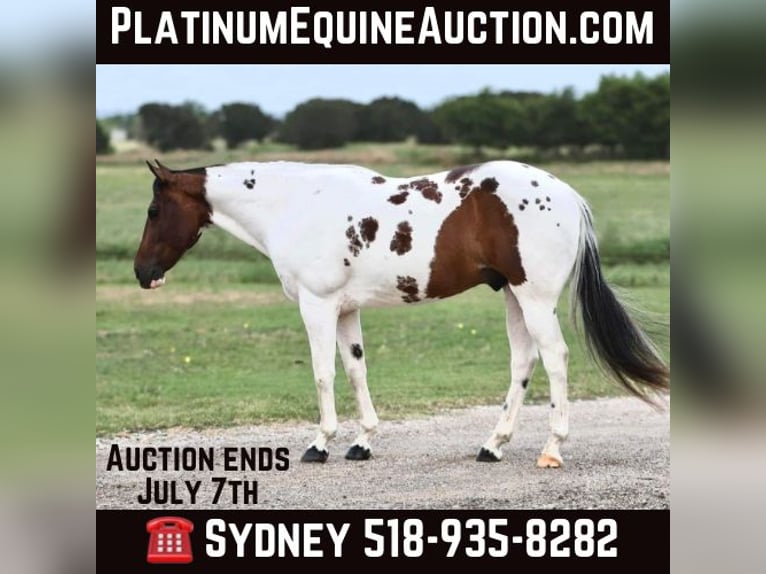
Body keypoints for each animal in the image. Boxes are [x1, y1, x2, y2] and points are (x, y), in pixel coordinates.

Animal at [134, 159, 669, 467]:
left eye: (154, 211)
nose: (143, 273)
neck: (296, 203)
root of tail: (568, 196)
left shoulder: (317, 305)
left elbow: (323, 374)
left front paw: (320, 443)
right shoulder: (345, 310)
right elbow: (355, 371)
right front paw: (362, 441)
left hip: (534, 297)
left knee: (555, 358)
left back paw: (551, 449)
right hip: (514, 297)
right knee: (524, 362)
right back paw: (492, 445)